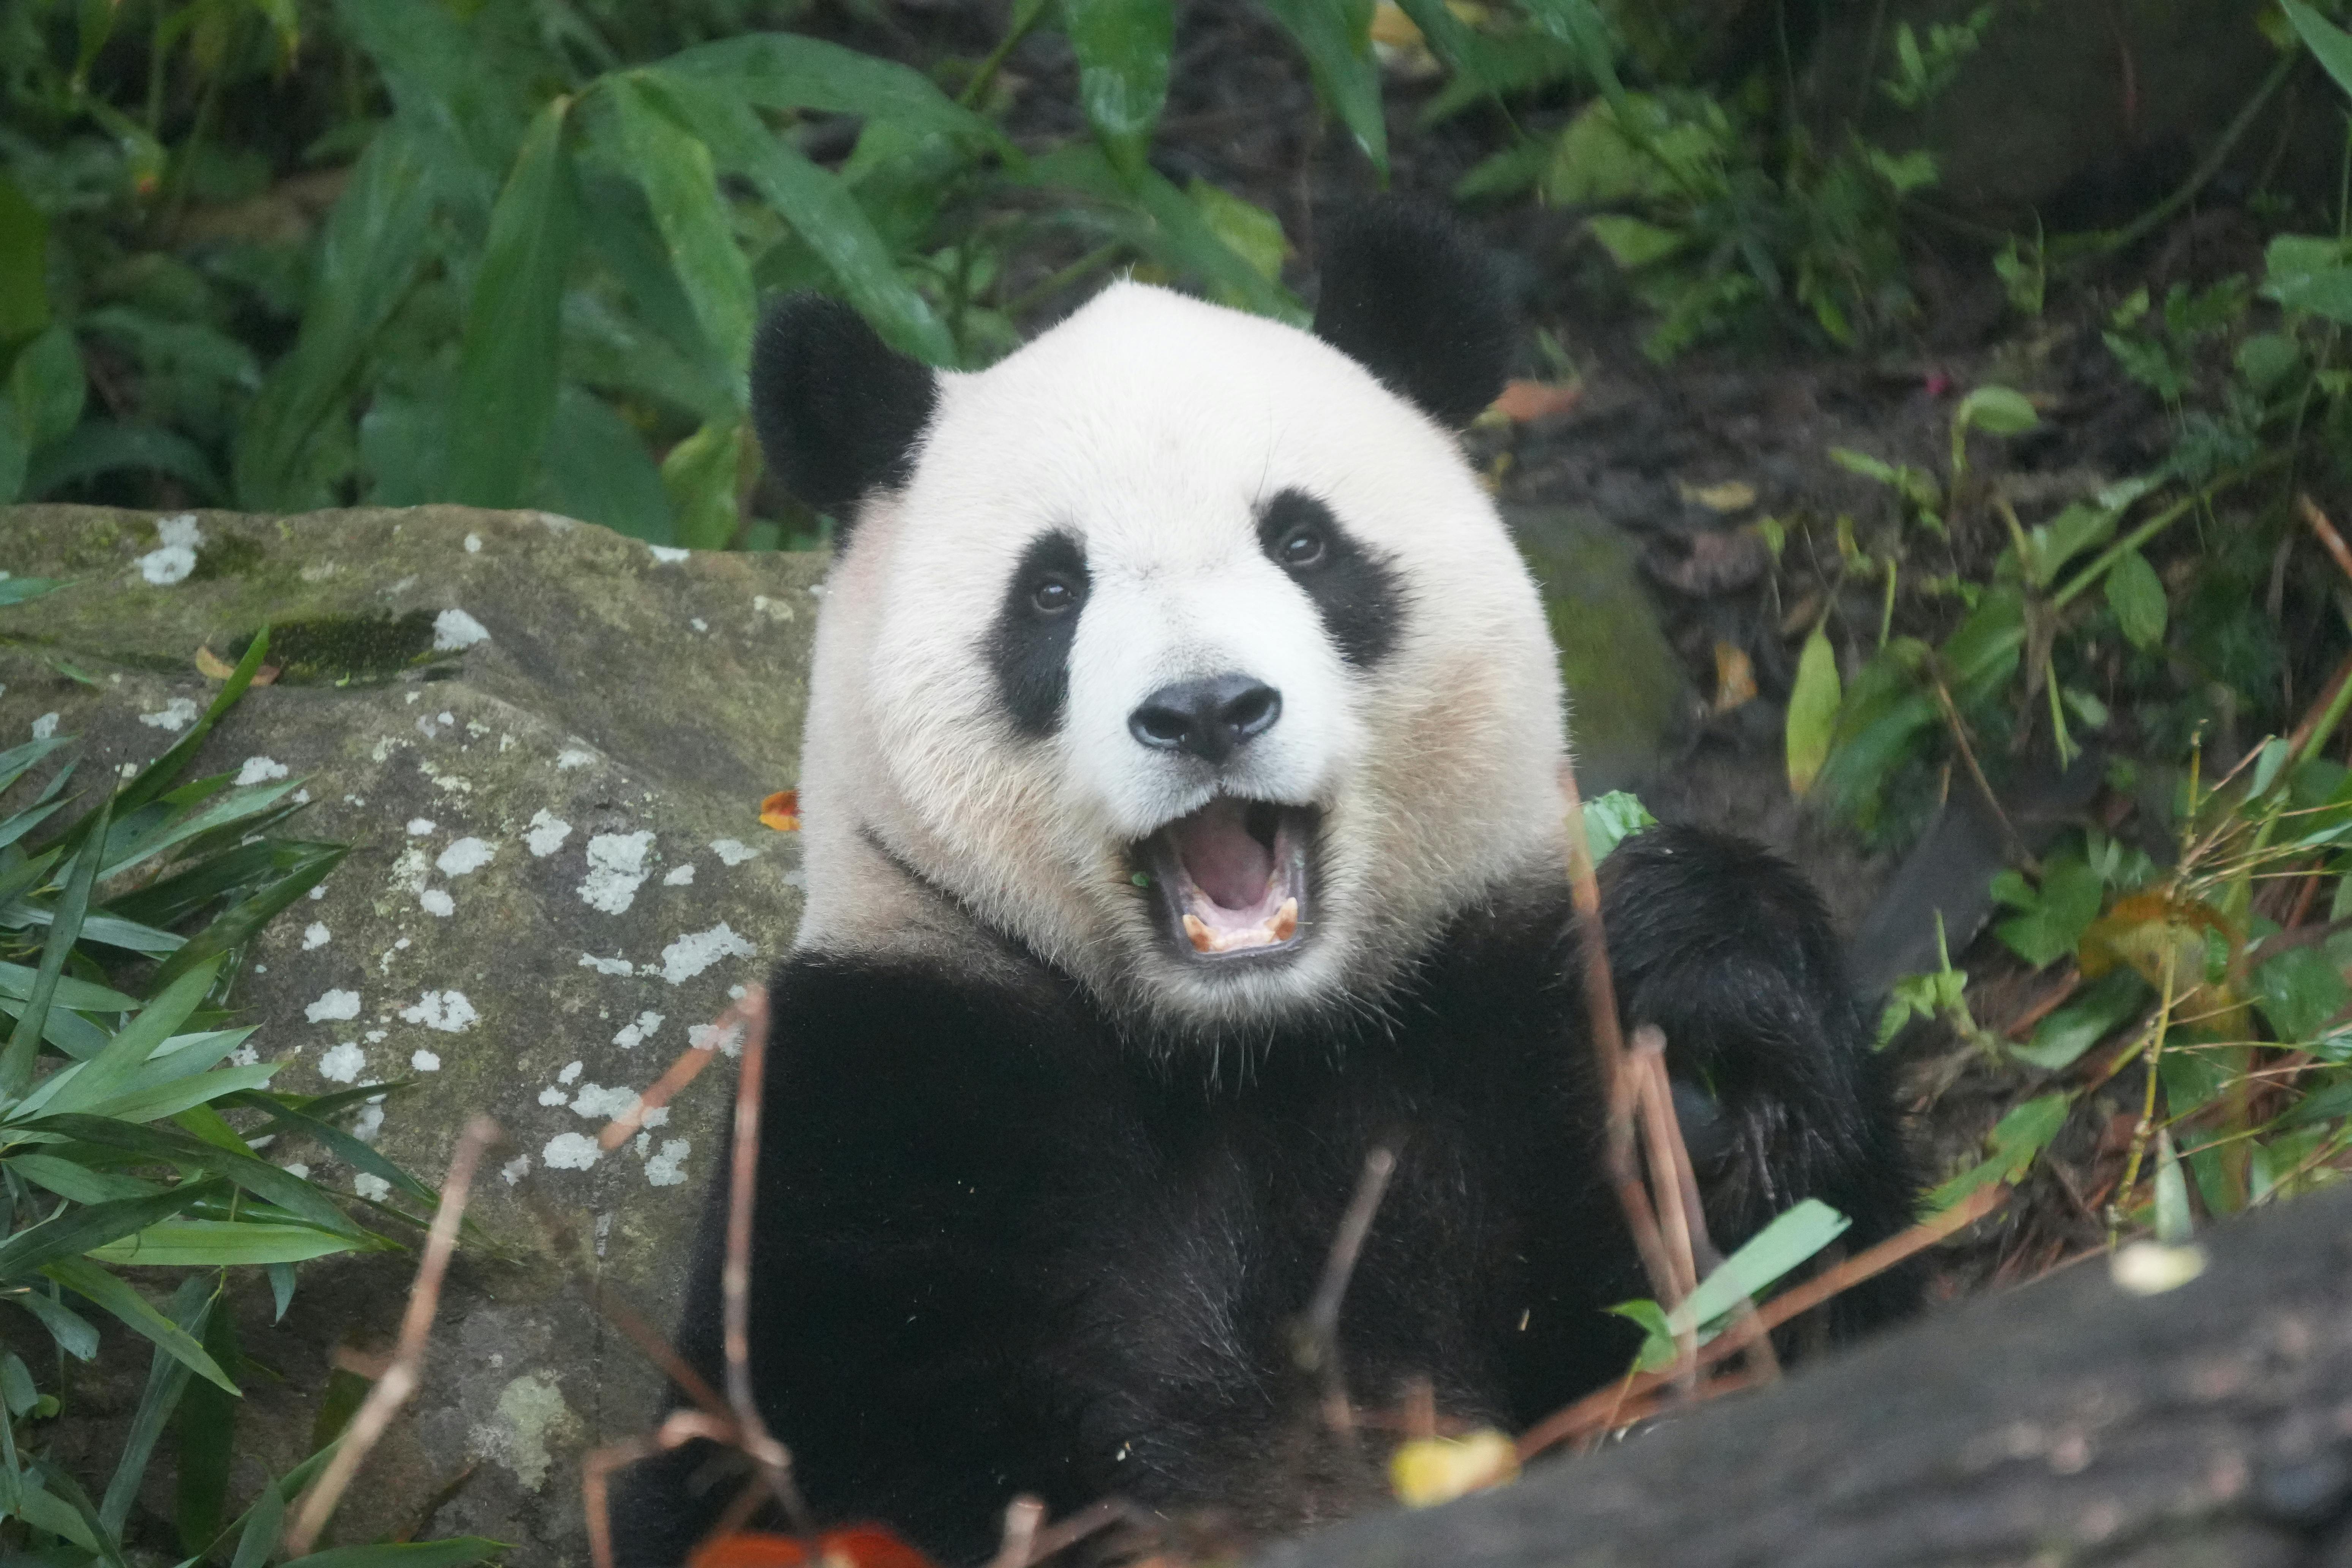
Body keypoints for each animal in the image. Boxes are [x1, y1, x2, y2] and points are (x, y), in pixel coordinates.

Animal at [612, 203, 1916, 1565]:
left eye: (1302, 541)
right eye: (1052, 589)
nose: (1205, 709)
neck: (1250, 1046)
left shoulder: (1504, 1016)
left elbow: (1789, 1324)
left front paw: (1711, 1002)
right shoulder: (891, 1085)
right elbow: (782, 1474)